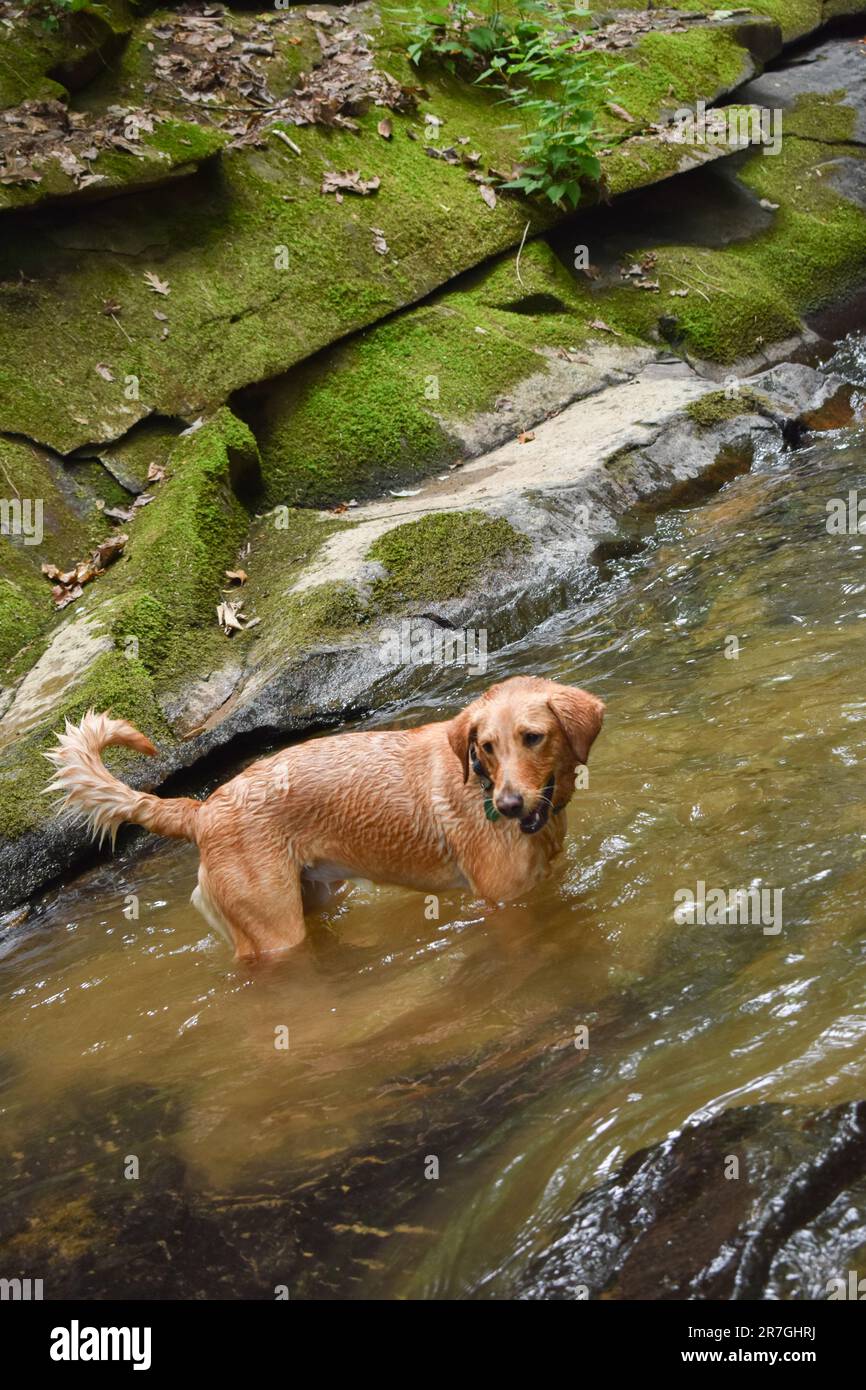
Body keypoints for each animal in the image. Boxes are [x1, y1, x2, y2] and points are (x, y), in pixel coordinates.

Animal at [45, 675, 603, 961]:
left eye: (533, 737)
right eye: (486, 747)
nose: (507, 806)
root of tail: (201, 811)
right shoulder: (505, 905)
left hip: (313, 897)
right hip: (275, 933)